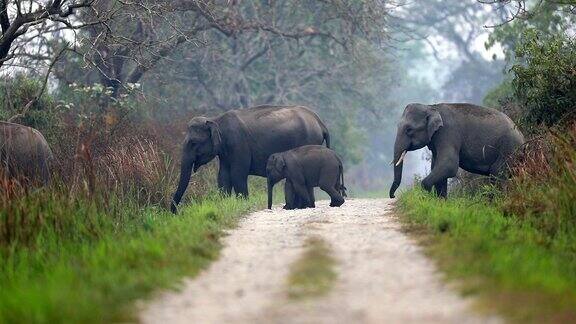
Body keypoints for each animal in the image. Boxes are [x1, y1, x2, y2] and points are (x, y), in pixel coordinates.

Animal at [171, 105, 330, 214]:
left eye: (193, 143)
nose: (174, 213)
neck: (215, 120)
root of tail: (320, 123)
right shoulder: (225, 152)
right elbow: (223, 176)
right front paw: (224, 204)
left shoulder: (239, 145)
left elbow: (237, 174)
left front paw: (243, 204)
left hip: (309, 141)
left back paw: (302, 207)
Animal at [390, 103, 524, 197]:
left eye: (409, 130)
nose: (393, 196)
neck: (432, 107)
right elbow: (438, 168)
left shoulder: (448, 133)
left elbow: (449, 165)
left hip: (508, 150)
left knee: (497, 175)